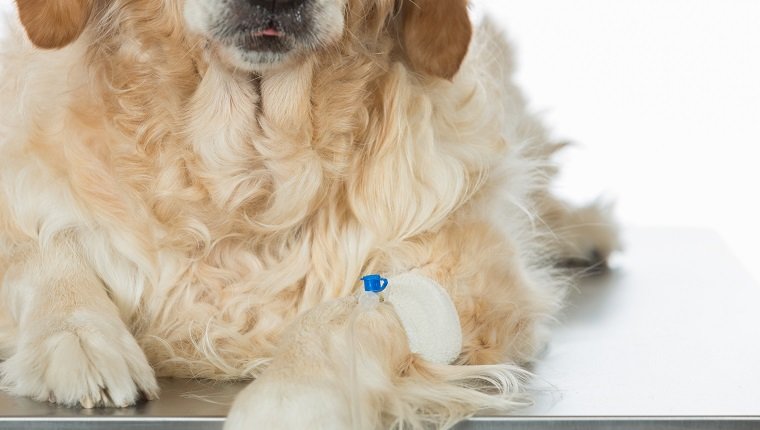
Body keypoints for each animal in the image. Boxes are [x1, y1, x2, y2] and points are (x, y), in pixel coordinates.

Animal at [0, 1, 616, 428]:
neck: (250, 175)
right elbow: (43, 249)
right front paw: (78, 338)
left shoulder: (466, 272)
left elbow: (343, 315)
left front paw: (287, 398)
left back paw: (582, 231)